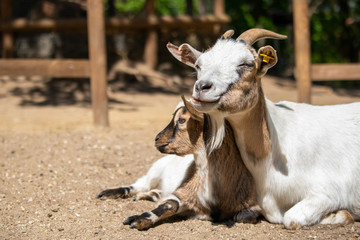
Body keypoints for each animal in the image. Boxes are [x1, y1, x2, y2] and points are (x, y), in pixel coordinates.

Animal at [124, 96, 258, 230]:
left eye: (181, 120)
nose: (157, 139)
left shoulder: (252, 205)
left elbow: (244, 216)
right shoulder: (184, 192)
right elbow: (170, 204)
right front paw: (137, 220)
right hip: (155, 171)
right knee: (140, 185)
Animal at [167, 29, 358, 230]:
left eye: (246, 63)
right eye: (199, 65)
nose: (202, 87)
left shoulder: (329, 191)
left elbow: (290, 218)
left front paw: (341, 214)